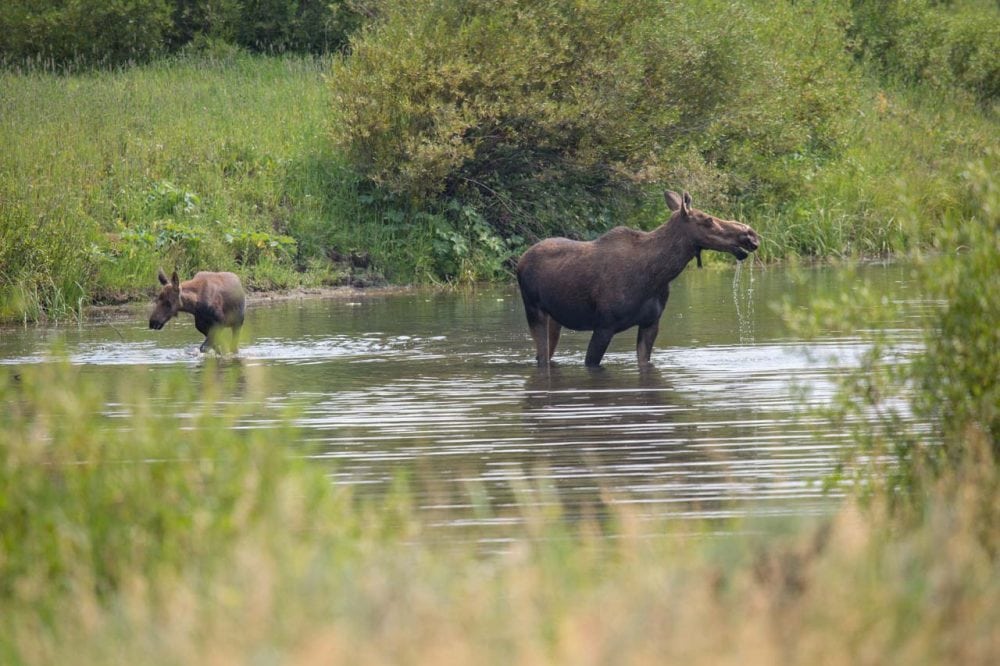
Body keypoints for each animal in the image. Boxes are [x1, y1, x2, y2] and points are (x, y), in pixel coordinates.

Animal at [516, 192, 756, 366]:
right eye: (708, 220)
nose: (750, 234)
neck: (656, 276)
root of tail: (520, 260)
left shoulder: (651, 323)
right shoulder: (604, 326)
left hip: (554, 318)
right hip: (533, 310)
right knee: (542, 357)